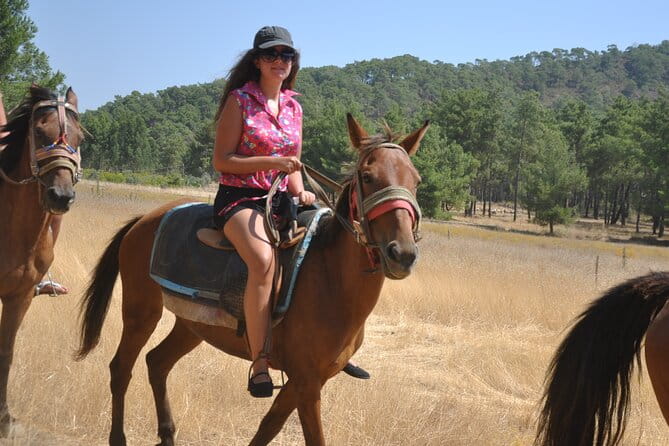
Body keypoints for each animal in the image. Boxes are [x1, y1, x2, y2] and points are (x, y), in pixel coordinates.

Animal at [75, 113, 429, 446]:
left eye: (416, 181)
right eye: (368, 177)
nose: (402, 253)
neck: (330, 281)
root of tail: (143, 221)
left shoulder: (303, 381)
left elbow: (268, 427)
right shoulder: (307, 383)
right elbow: (310, 437)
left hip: (191, 326)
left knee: (157, 363)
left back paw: (167, 434)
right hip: (141, 313)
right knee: (121, 368)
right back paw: (119, 437)